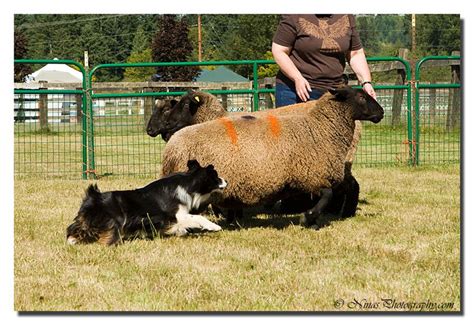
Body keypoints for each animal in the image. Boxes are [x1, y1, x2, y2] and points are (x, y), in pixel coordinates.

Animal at [161, 86, 384, 228]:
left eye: (184, 105)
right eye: (361, 97)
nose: (381, 112)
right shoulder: (312, 173)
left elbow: (326, 194)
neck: (318, 127)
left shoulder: (310, 175)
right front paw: (309, 217)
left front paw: (310, 218)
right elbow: (327, 194)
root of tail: (172, 147)